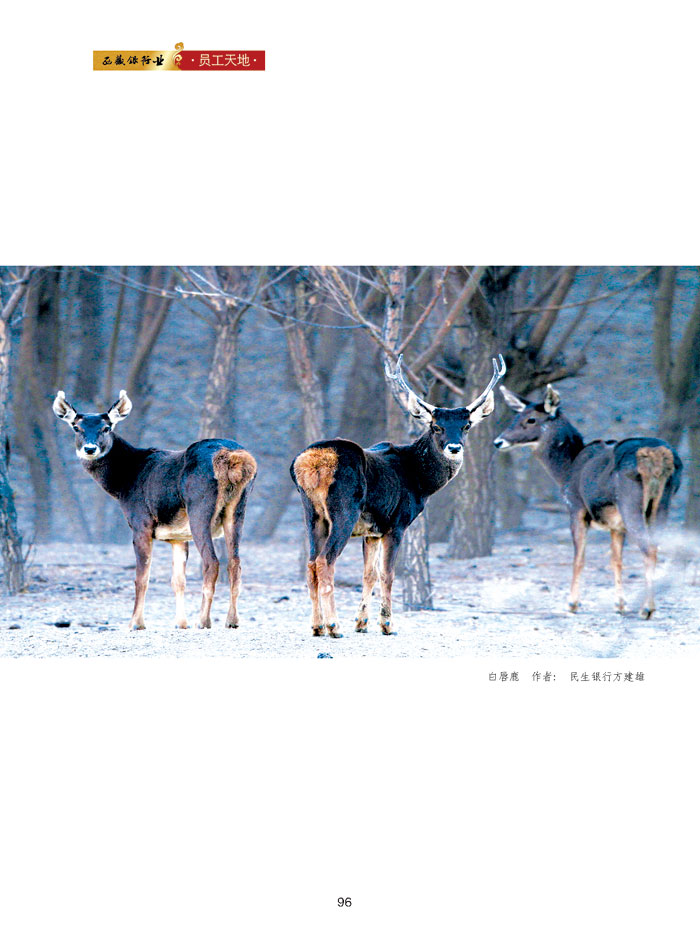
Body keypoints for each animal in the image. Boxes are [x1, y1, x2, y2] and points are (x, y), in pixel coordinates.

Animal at [52, 390, 257, 631]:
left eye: (107, 427)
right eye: (76, 427)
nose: (90, 449)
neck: (122, 484)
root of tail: (235, 457)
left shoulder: (141, 522)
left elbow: (142, 578)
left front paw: (136, 623)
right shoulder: (179, 536)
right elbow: (178, 581)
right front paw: (180, 623)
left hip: (200, 507)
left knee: (212, 562)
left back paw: (204, 620)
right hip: (238, 508)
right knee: (235, 563)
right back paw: (231, 620)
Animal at [290, 354, 506, 637]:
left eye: (466, 425)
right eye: (436, 427)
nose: (454, 447)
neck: (420, 481)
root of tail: (309, 462)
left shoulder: (372, 530)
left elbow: (369, 574)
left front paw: (361, 623)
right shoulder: (397, 523)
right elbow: (388, 574)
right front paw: (386, 624)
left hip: (312, 513)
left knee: (311, 563)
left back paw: (317, 626)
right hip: (344, 510)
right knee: (325, 561)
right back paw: (334, 625)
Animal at [494, 383, 683, 619]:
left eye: (531, 420)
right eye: (516, 415)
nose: (498, 441)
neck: (565, 470)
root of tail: (659, 457)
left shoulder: (575, 507)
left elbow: (579, 558)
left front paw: (572, 604)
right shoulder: (616, 525)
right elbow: (616, 560)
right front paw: (619, 604)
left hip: (630, 501)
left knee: (648, 548)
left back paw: (647, 608)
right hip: (663, 501)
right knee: (655, 546)